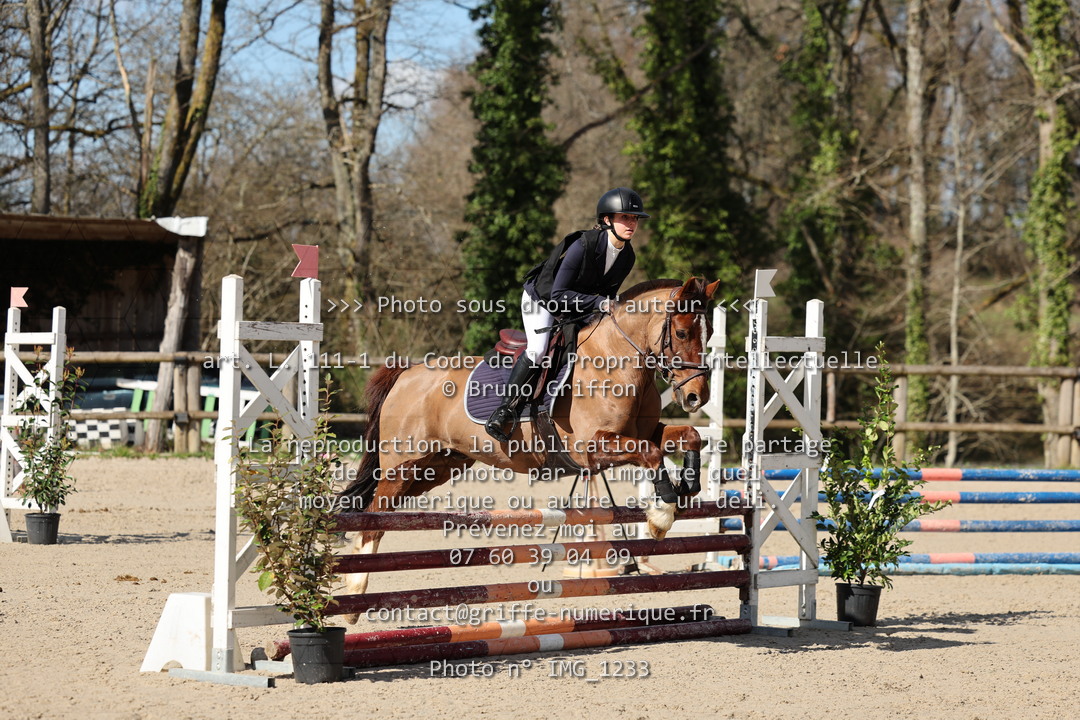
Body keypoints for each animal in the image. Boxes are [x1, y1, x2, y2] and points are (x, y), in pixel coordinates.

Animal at [338, 277, 721, 623]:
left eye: (710, 334)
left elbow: (689, 436)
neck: (617, 360)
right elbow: (652, 454)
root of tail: (408, 372)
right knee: (374, 518)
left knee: (376, 512)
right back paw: (355, 593)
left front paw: (687, 487)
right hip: (402, 466)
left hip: (436, 467)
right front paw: (661, 517)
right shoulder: (593, 447)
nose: (696, 397)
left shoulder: (645, 433)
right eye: (682, 333)